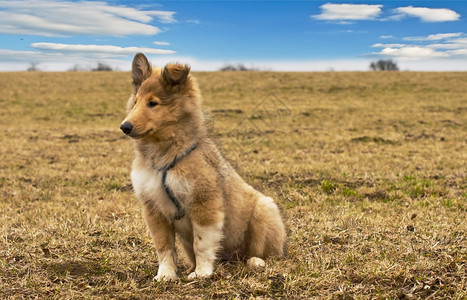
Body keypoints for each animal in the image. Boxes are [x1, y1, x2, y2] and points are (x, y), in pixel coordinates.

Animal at [120, 52, 286, 280]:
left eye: (153, 103)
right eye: (135, 102)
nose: (124, 127)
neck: (165, 155)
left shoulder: (204, 203)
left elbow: (202, 244)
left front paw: (202, 273)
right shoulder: (153, 209)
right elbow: (163, 247)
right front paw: (165, 276)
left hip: (264, 210)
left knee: (267, 253)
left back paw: (255, 261)